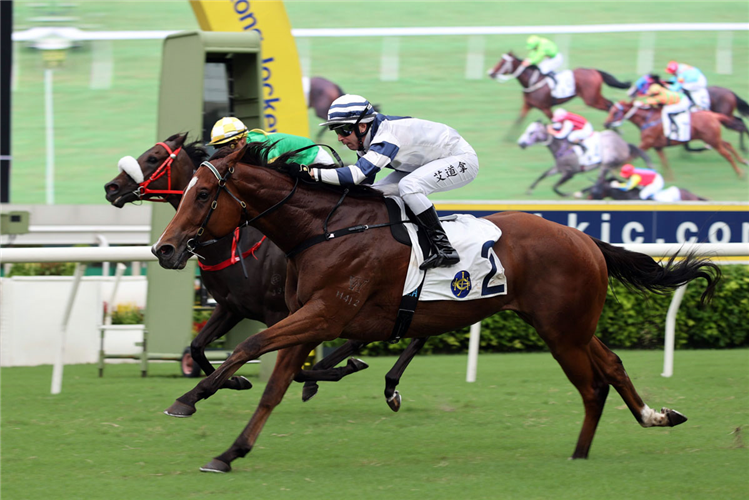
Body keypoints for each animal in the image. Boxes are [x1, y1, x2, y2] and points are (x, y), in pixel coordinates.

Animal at [149, 142, 716, 472]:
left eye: (203, 196)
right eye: (185, 193)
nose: (165, 249)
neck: (325, 230)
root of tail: (583, 238)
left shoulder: (325, 314)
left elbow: (249, 345)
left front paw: (193, 398)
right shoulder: (308, 318)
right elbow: (275, 385)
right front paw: (229, 450)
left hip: (561, 331)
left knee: (593, 386)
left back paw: (580, 455)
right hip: (570, 325)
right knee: (613, 366)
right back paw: (655, 417)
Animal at [488, 52, 628, 139]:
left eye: (502, 63)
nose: (491, 73)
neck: (532, 81)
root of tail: (594, 70)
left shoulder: (546, 108)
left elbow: (556, 123)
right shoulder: (528, 105)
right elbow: (519, 119)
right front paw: (507, 138)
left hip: (591, 99)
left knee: (609, 105)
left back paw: (614, 128)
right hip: (594, 97)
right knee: (610, 104)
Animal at [604, 100, 744, 180]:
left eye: (615, 112)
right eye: (610, 111)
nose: (605, 124)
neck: (647, 119)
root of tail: (713, 115)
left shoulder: (646, 143)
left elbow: (628, 158)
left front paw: (615, 172)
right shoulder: (658, 147)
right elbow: (665, 162)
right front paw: (669, 179)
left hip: (712, 140)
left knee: (727, 155)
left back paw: (740, 174)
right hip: (713, 139)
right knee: (728, 144)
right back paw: (743, 160)